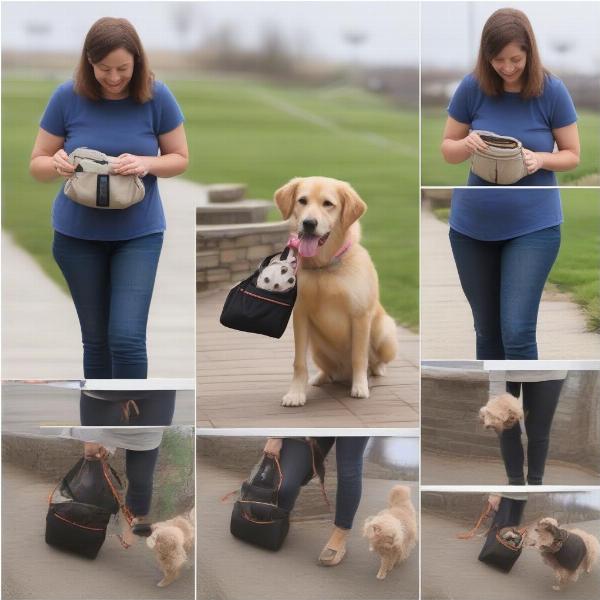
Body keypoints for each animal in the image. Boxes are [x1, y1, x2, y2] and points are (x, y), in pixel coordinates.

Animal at [276, 176, 398, 406]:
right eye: (302, 201)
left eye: (328, 204)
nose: (309, 223)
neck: (324, 268)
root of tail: (343, 374)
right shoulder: (300, 315)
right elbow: (299, 362)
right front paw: (296, 393)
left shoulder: (360, 316)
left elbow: (359, 357)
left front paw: (360, 387)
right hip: (316, 348)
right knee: (328, 370)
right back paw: (320, 377)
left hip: (385, 332)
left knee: (375, 362)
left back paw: (376, 371)